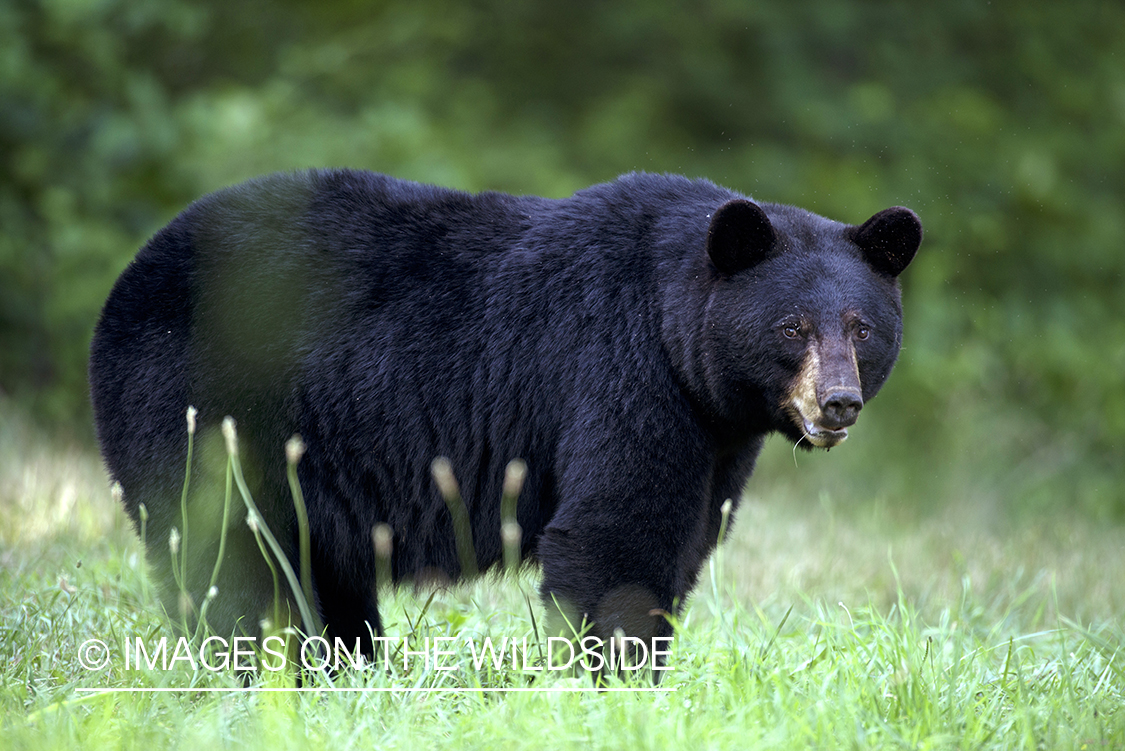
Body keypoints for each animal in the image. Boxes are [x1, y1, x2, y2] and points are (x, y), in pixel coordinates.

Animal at [90, 169, 922, 661]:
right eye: (791, 328)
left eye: (860, 328)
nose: (836, 401)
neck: (673, 327)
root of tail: (129, 275)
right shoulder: (618, 371)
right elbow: (615, 533)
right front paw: (613, 681)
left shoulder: (715, 432)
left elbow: (683, 539)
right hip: (199, 401)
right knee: (220, 548)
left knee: (312, 569)